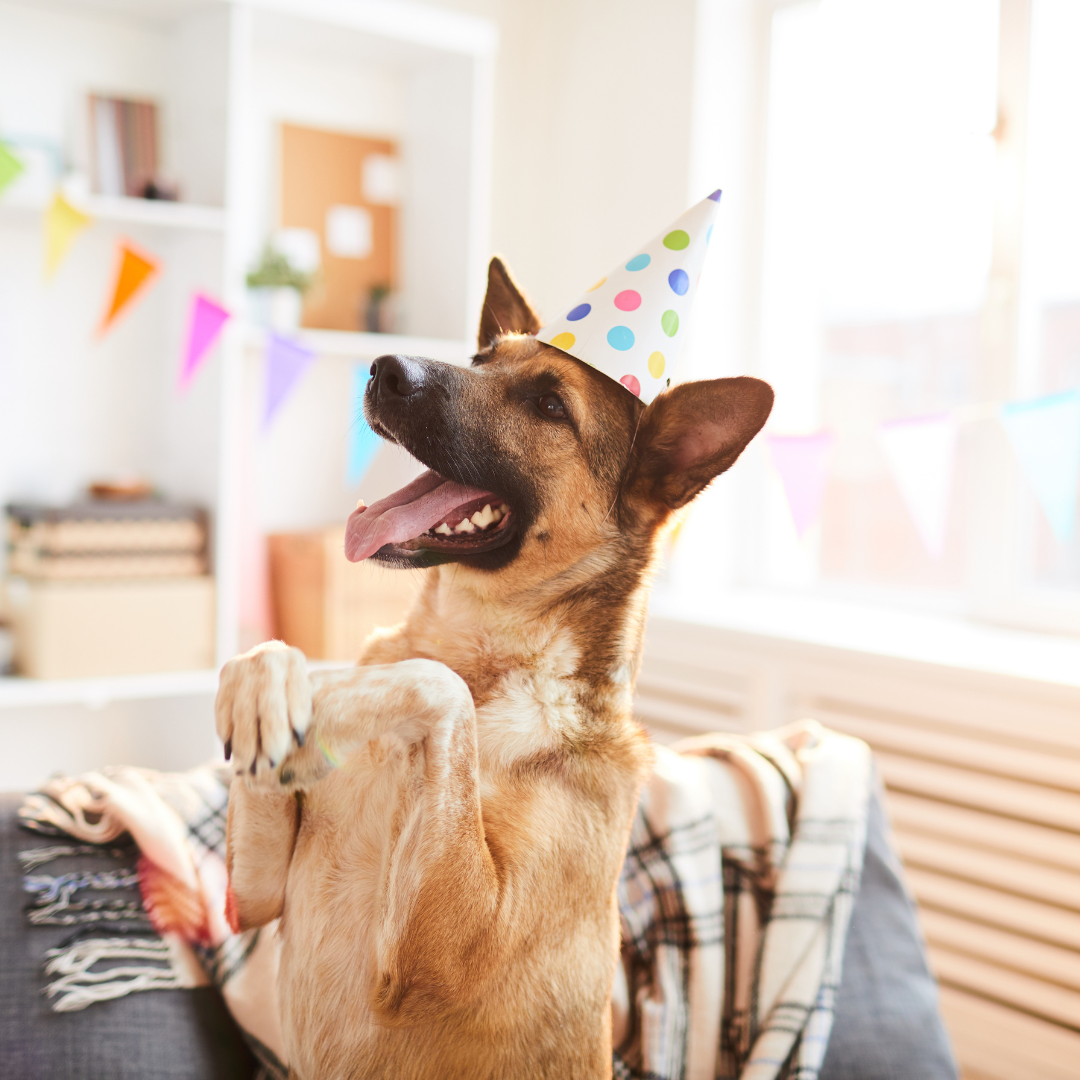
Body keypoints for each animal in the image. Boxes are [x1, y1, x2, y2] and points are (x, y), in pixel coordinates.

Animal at [214, 257, 773, 1075]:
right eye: (481, 360)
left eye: (549, 404)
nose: (384, 368)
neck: (474, 645)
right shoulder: (250, 900)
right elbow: (274, 658)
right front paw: (267, 691)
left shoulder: (453, 948)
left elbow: (435, 686)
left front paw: (340, 697)